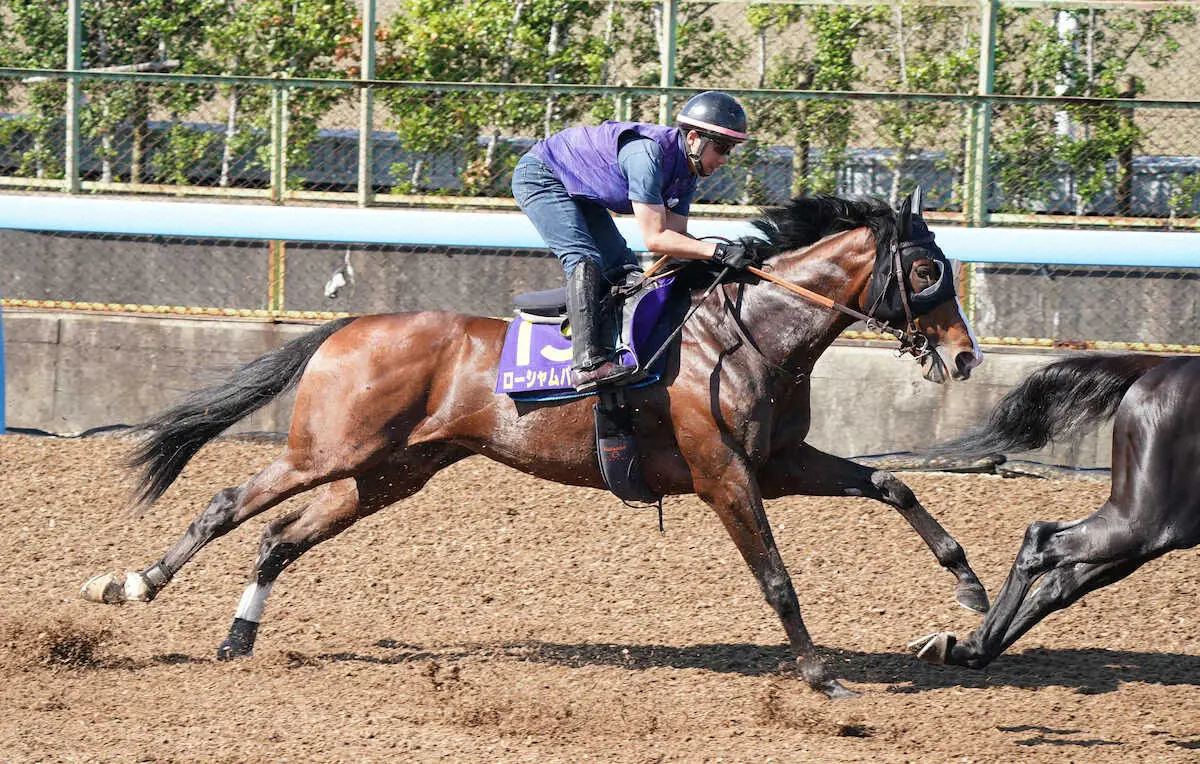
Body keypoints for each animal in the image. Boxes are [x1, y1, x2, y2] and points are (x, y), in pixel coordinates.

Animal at [82, 189, 984, 695]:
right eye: (928, 271)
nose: (967, 357)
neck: (750, 333)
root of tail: (350, 326)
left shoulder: (779, 463)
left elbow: (894, 486)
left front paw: (970, 589)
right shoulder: (723, 473)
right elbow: (777, 579)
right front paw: (823, 677)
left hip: (390, 472)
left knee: (278, 535)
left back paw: (239, 637)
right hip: (330, 452)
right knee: (228, 502)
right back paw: (131, 584)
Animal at [912, 352, 1195, 666]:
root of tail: (1165, 365)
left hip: (1156, 529)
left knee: (1061, 581)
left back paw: (964, 648)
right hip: (1148, 521)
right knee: (1043, 545)